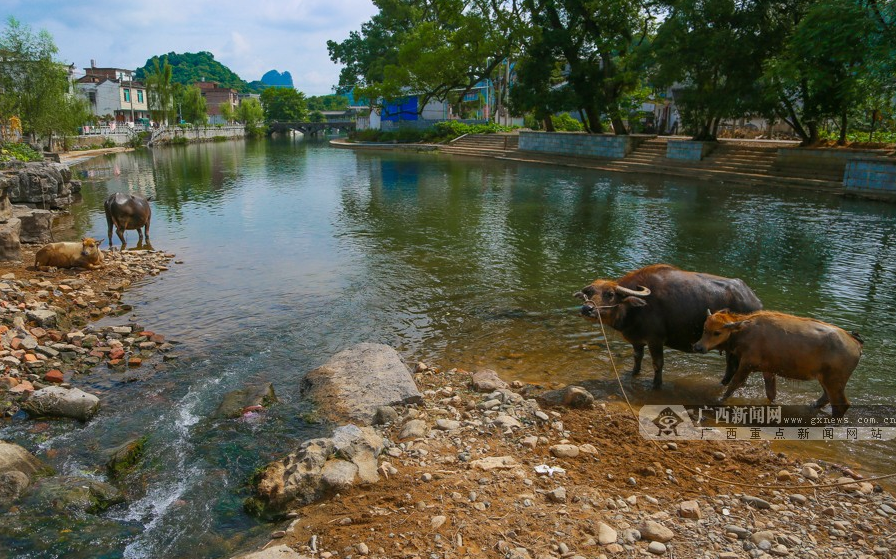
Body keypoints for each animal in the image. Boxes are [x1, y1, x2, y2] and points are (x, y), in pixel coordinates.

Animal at [576, 266, 764, 390]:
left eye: (609, 294)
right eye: (589, 293)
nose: (587, 309)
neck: (636, 309)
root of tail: (755, 302)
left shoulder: (655, 340)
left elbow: (658, 363)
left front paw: (656, 385)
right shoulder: (637, 340)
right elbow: (637, 358)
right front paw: (634, 374)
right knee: (731, 367)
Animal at [692, 310, 860, 420]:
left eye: (717, 332)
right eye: (705, 329)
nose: (698, 347)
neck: (744, 331)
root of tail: (855, 343)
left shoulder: (747, 364)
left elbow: (734, 384)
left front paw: (720, 400)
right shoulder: (768, 371)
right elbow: (771, 393)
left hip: (834, 381)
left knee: (842, 404)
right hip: (826, 379)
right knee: (826, 398)